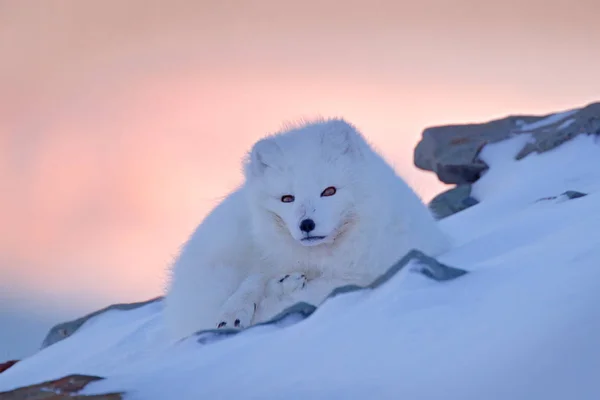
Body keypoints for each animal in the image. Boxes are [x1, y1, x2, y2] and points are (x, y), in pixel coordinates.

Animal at [164, 118, 450, 340]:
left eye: (329, 191)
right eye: (287, 198)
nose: (306, 225)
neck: (317, 259)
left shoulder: (363, 273)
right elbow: (252, 283)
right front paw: (234, 312)